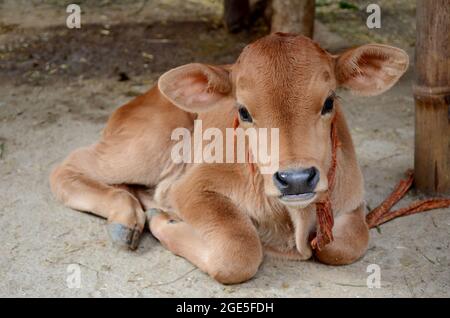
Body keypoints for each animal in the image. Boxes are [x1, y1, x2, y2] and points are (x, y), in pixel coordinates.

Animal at [51, 33, 410, 284]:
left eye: (329, 102)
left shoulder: (353, 202)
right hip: (149, 145)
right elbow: (238, 251)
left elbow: (344, 245)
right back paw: (125, 217)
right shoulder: (193, 187)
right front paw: (165, 222)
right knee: (68, 167)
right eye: (243, 111)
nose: (295, 179)